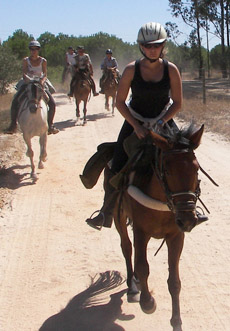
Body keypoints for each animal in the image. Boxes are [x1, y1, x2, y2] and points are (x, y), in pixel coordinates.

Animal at [114, 124, 206, 331]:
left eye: (196, 170)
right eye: (168, 170)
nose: (187, 219)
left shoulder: (176, 236)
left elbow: (174, 281)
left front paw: (177, 322)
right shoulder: (141, 232)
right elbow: (142, 266)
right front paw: (148, 303)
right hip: (118, 216)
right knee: (126, 248)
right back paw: (133, 287)